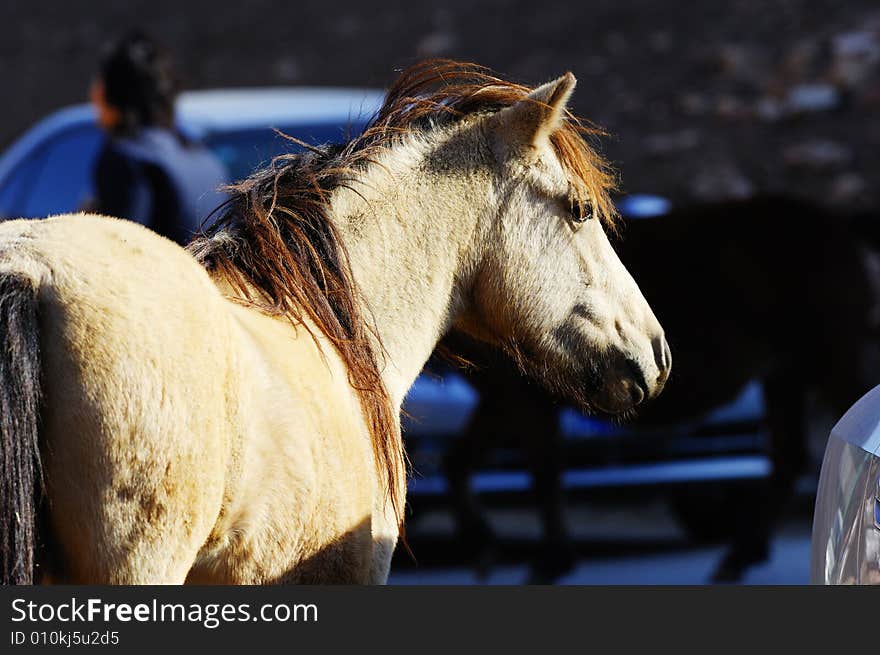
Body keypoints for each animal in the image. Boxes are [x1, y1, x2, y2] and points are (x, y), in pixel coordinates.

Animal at [434, 196, 880, 584]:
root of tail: (838, 224)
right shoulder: (502, 398)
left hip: (830, 362)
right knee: (789, 457)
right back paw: (739, 556)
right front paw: (486, 548)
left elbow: (541, 470)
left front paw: (548, 560)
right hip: (785, 376)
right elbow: (460, 463)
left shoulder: (520, 397)